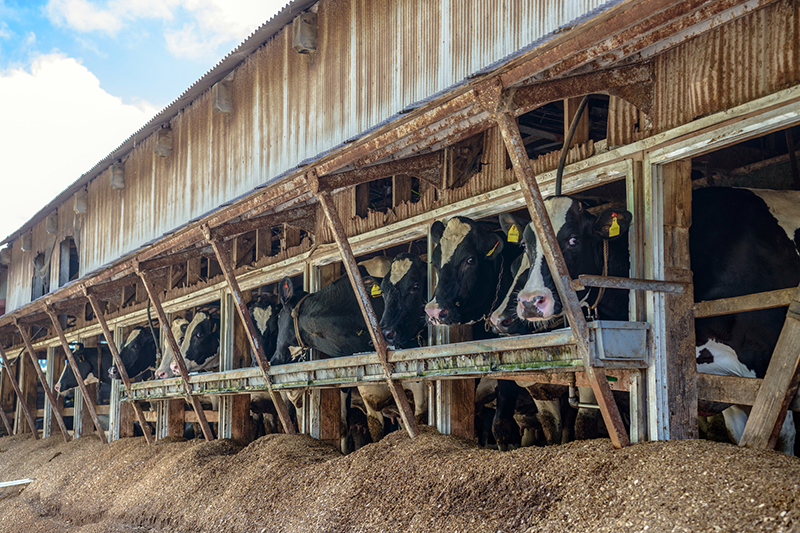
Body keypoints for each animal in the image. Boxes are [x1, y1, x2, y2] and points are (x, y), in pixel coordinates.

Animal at [512, 187, 800, 454]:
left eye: (573, 239)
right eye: (526, 245)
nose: (530, 301)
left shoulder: (767, 370)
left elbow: (780, 440)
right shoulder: (726, 386)